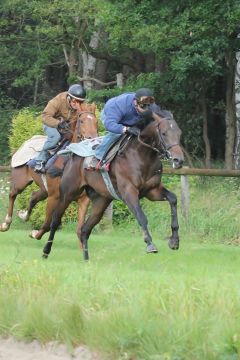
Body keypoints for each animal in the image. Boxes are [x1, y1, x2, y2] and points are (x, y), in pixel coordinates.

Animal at [0, 102, 97, 238]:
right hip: (21, 181)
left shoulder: (83, 200)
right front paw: (35, 233)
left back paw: (23, 215)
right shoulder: (54, 196)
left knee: (33, 196)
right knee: (12, 194)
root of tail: (24, 143)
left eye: (96, 121)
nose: (92, 138)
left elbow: (79, 230)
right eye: (82, 121)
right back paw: (6, 223)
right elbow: (47, 224)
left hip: (44, 189)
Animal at [42, 111, 184, 260]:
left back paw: (86, 260)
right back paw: (46, 251)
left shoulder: (152, 190)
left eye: (179, 133)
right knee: (55, 221)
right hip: (67, 194)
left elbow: (173, 199)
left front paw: (174, 240)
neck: (142, 156)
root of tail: (71, 157)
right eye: (164, 133)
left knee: (85, 229)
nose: (178, 160)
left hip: (101, 200)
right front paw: (150, 244)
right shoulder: (129, 192)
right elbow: (141, 217)